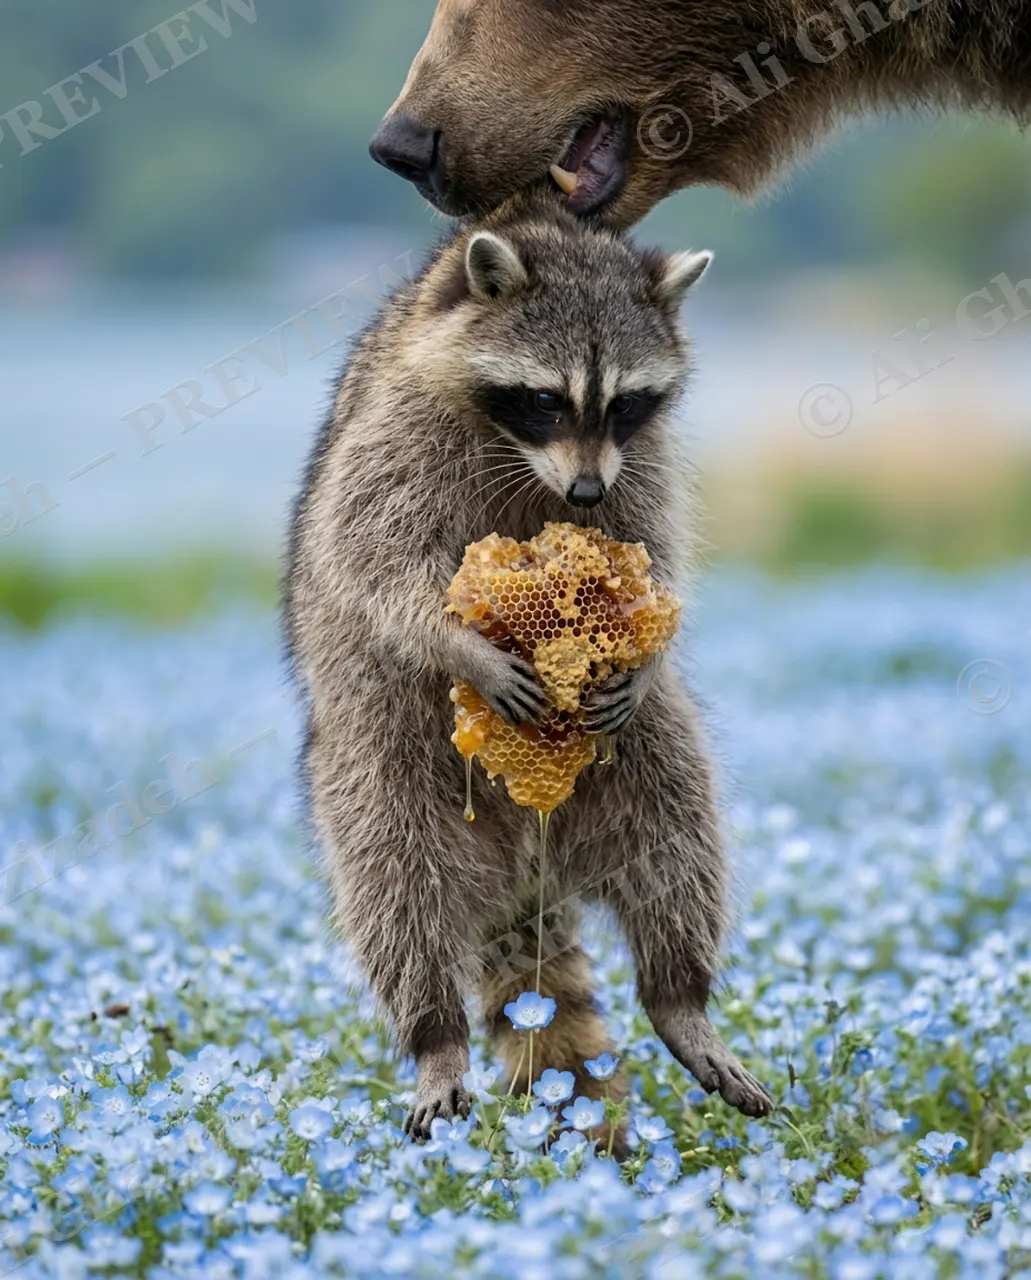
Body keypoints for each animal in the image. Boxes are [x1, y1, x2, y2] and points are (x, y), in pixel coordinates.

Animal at [285, 193, 772, 1144]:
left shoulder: (641, 461)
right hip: (374, 749)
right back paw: (433, 1033)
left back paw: (678, 993)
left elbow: (652, 551)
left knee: (675, 823)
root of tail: (525, 858)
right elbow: (370, 553)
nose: (583, 495)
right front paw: (458, 642)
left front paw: (644, 644)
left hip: (633, 757)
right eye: (545, 400)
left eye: (624, 404)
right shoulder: (398, 435)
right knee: (394, 879)